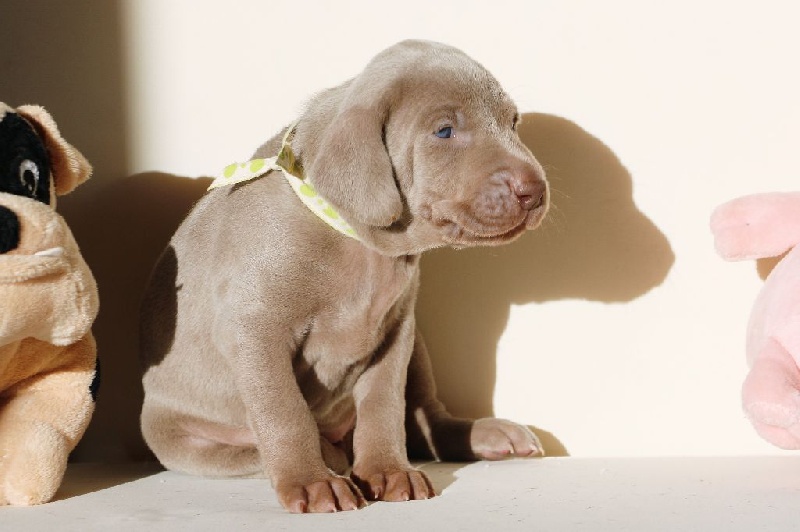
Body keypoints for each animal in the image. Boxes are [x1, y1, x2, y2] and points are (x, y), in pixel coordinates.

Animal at [140, 40, 550, 513]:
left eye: (513, 123)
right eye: (444, 131)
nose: (535, 190)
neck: (364, 247)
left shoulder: (397, 332)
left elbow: (382, 407)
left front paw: (389, 472)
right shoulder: (255, 330)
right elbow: (285, 412)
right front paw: (311, 482)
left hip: (420, 349)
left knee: (423, 421)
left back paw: (487, 435)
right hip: (178, 437)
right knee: (251, 446)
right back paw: (328, 456)